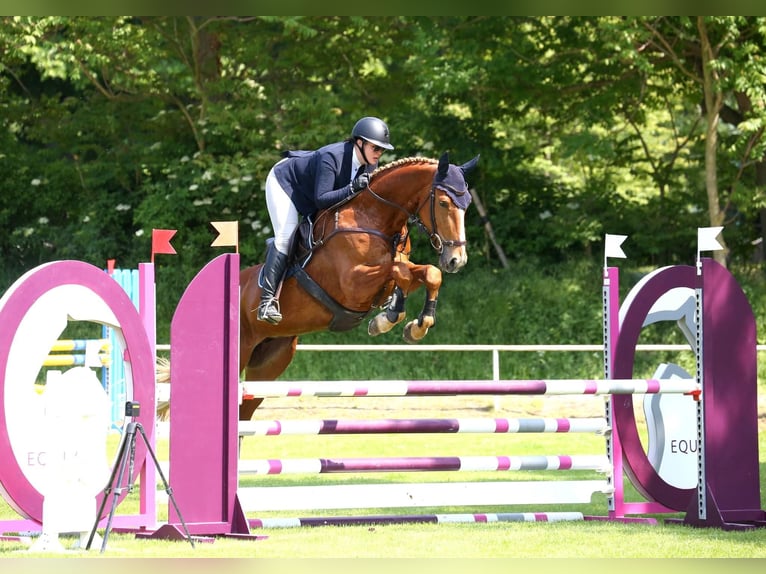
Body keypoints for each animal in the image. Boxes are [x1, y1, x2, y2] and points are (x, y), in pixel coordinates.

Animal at [240, 153, 480, 420]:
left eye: (468, 203)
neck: (375, 219)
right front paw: (390, 318)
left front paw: (415, 324)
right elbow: (400, 272)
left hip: (271, 360)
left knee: (245, 408)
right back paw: (267, 308)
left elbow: (428, 273)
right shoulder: (353, 284)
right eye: (444, 203)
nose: (456, 260)